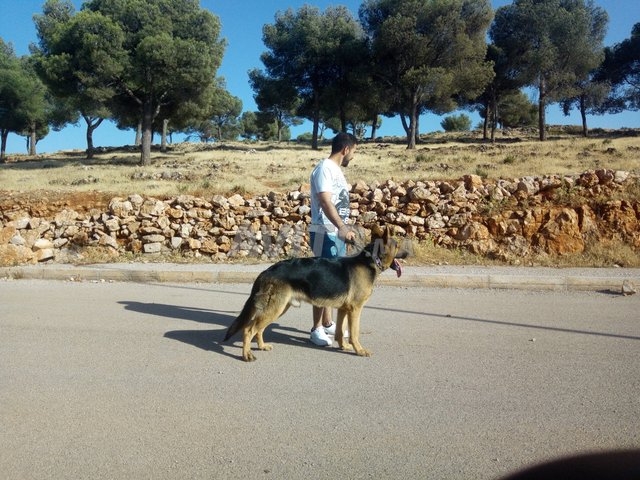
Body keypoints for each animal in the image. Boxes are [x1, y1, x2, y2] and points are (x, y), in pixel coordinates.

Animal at [224, 225, 404, 360]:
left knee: (259, 329)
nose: (408, 253)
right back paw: (247, 355)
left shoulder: (344, 310)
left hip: (278, 309)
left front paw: (343, 346)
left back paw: (261, 346)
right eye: (397, 246)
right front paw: (359, 350)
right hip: (274, 309)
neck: (370, 260)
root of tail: (266, 272)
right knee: (249, 329)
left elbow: (340, 331)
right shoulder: (355, 310)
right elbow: (354, 333)